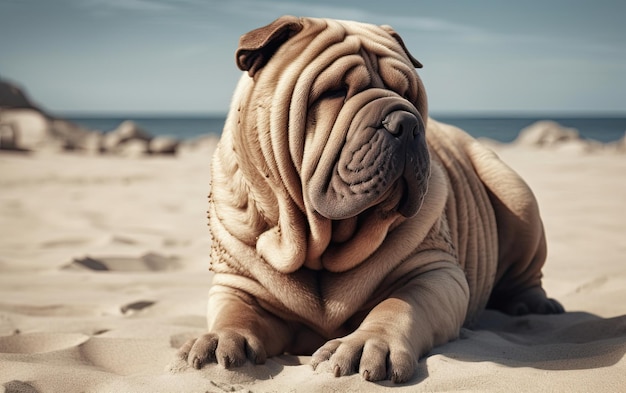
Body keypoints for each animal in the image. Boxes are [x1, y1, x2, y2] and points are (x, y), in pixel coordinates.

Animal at [178, 16, 564, 382]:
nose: (406, 122)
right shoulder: (238, 284)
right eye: (334, 91)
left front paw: (364, 345)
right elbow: (235, 313)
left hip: (516, 196)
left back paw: (534, 306)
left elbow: (398, 306)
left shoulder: (435, 273)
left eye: (409, 94)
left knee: (527, 271)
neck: (319, 241)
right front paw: (219, 342)